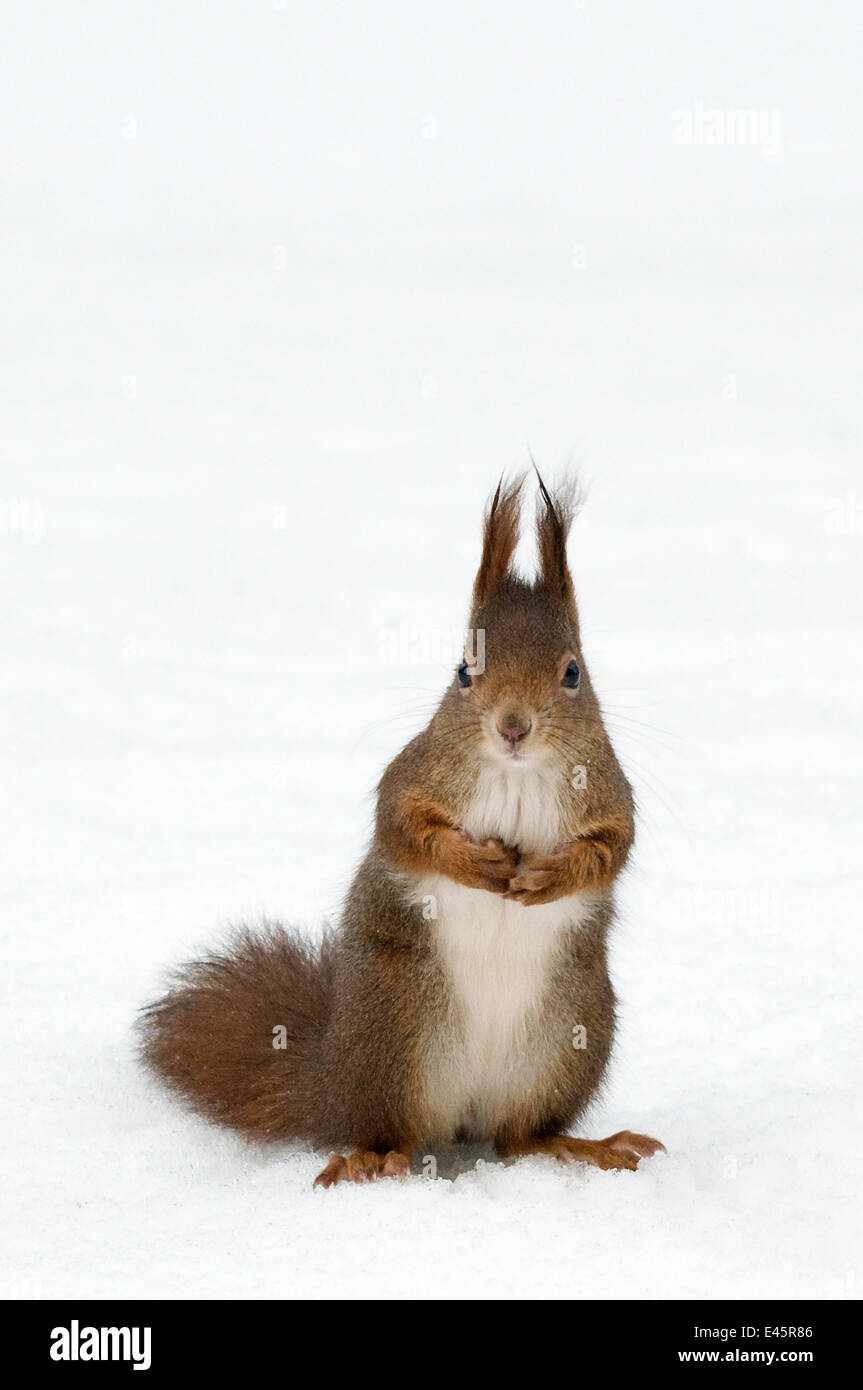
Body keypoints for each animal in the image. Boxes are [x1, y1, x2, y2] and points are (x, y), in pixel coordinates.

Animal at [140, 472, 665, 1187]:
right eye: (463, 670)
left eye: (573, 672)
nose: (513, 727)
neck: (516, 772)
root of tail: (329, 1079)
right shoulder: (412, 776)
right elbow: (401, 827)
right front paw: (474, 863)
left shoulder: (610, 796)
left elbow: (612, 847)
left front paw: (552, 874)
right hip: (397, 1032)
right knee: (400, 1132)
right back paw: (373, 1158)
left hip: (569, 1035)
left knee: (518, 1139)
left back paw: (577, 1146)